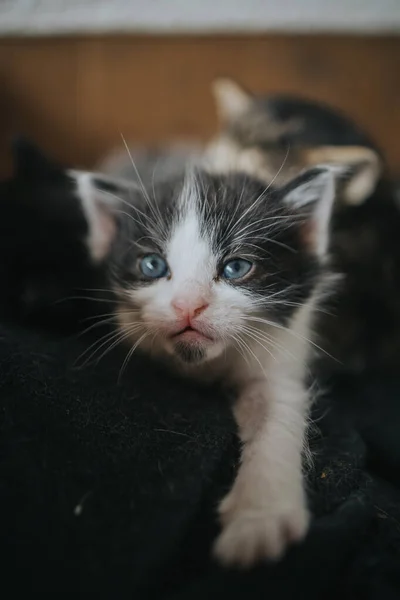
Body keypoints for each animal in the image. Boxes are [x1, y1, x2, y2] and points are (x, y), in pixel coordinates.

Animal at [67, 156, 346, 568]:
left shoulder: (283, 349)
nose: (188, 305)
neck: (203, 367)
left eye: (236, 268)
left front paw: (259, 519)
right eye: (152, 265)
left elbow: (277, 411)